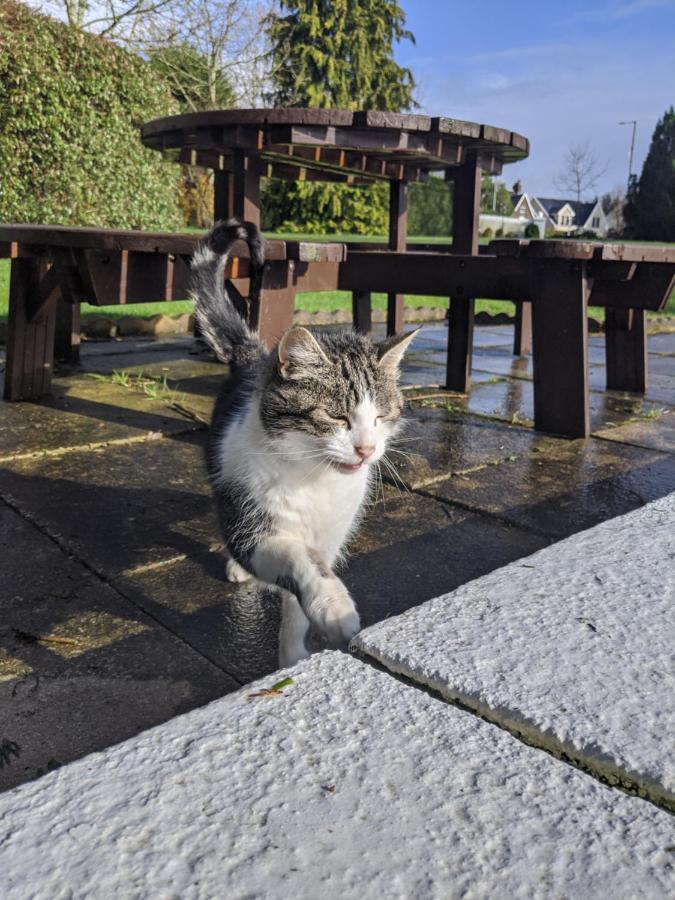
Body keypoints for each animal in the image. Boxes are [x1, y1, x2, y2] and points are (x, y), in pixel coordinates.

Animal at [190, 218, 418, 668]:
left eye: (380, 417)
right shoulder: (254, 525)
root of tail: (252, 355)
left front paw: (296, 655)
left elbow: (298, 606)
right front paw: (334, 606)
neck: (314, 482)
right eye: (337, 417)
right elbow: (296, 558)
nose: (366, 449)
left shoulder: (330, 536)